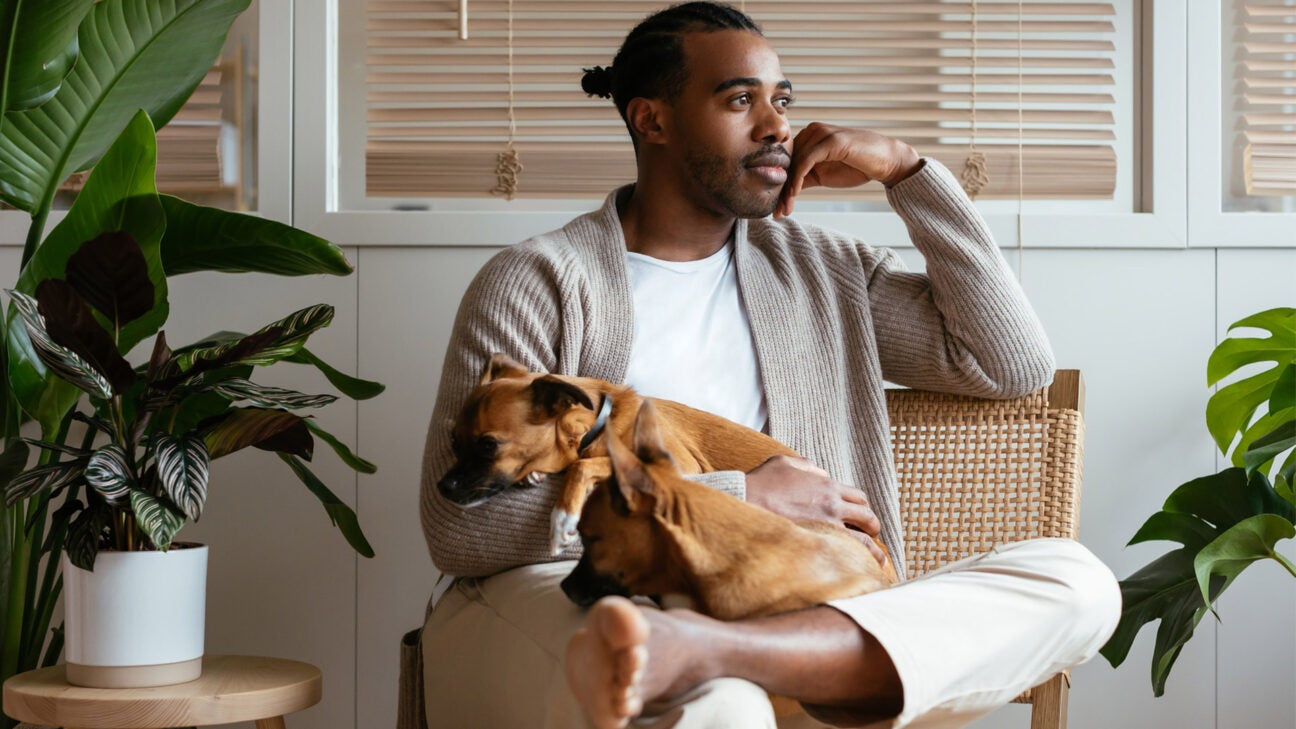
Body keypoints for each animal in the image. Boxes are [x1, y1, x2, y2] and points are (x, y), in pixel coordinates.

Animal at [435, 352, 798, 549]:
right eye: (453, 441)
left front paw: (562, 517)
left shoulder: (680, 467)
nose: (441, 488)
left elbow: (586, 465)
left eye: (488, 445)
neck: (598, 423)